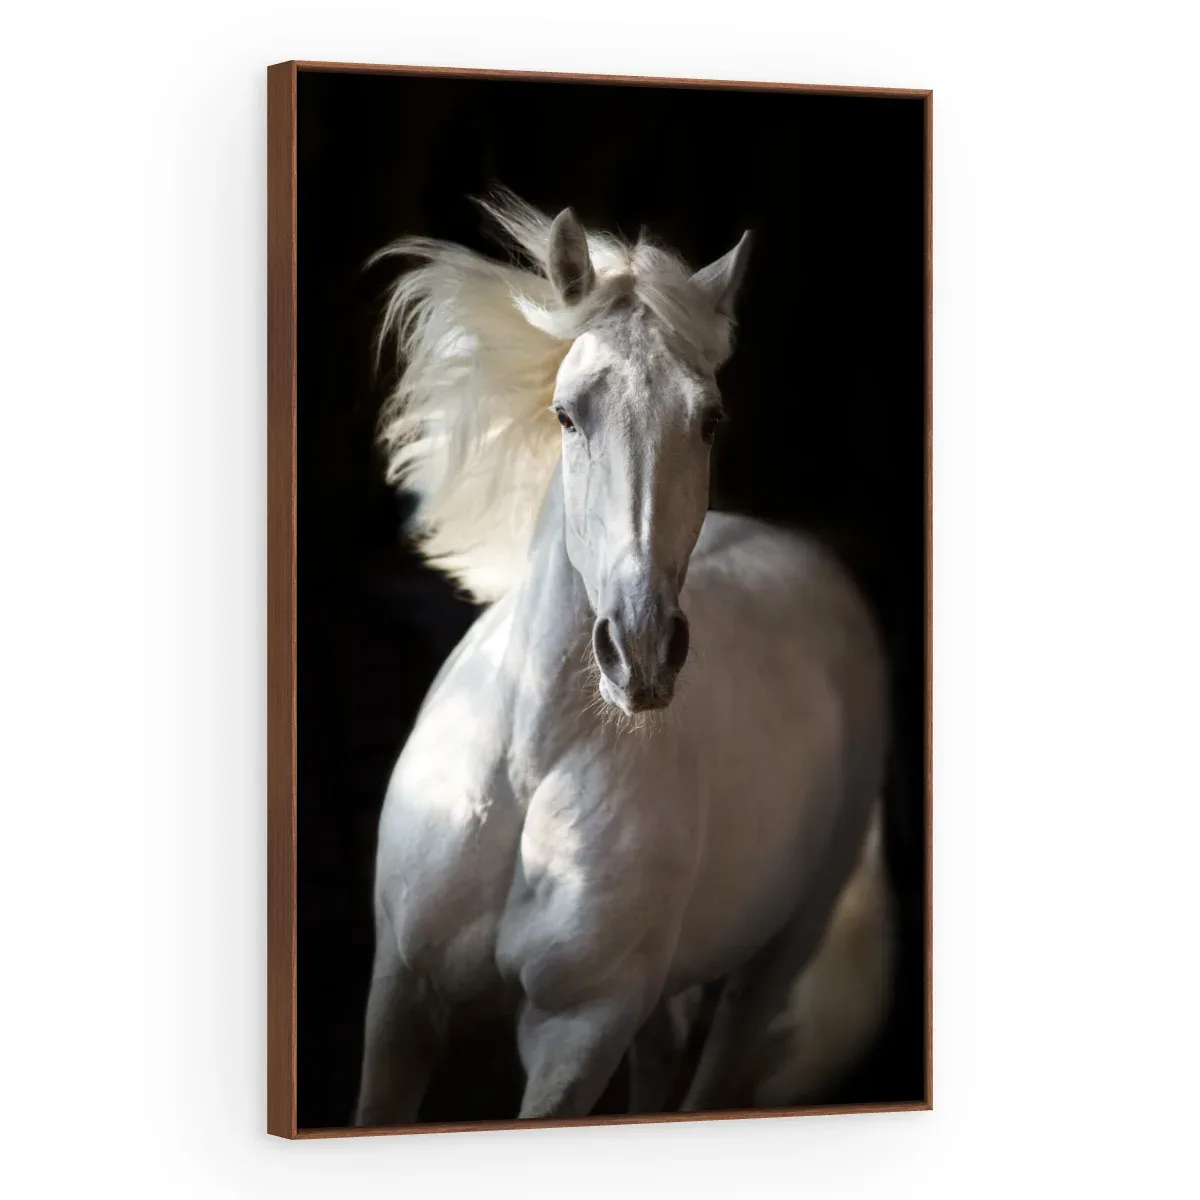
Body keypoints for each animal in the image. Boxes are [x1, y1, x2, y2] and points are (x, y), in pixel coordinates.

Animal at [353, 188, 895, 1124]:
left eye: (709, 419)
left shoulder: (580, 1032)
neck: (528, 769)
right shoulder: (402, 998)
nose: (640, 652)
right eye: (567, 413)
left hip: (775, 957)